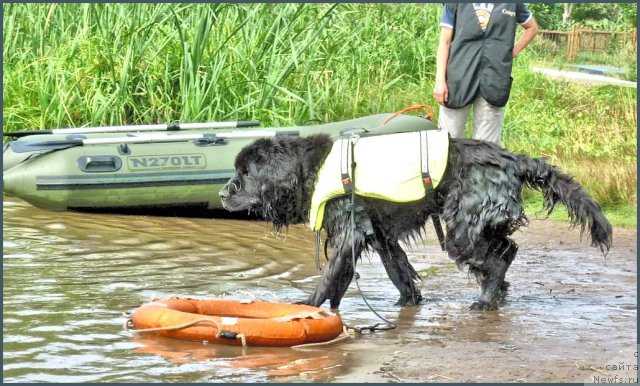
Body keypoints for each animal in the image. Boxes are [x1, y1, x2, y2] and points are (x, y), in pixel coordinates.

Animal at [219, 133, 608, 310]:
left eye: (245, 174)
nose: (223, 193)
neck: (310, 169)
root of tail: (512, 159)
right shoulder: (380, 234)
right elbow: (398, 269)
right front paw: (409, 300)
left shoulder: (349, 227)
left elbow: (332, 273)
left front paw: (307, 305)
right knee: (504, 248)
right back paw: (497, 294)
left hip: (462, 228)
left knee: (501, 255)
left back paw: (486, 299)